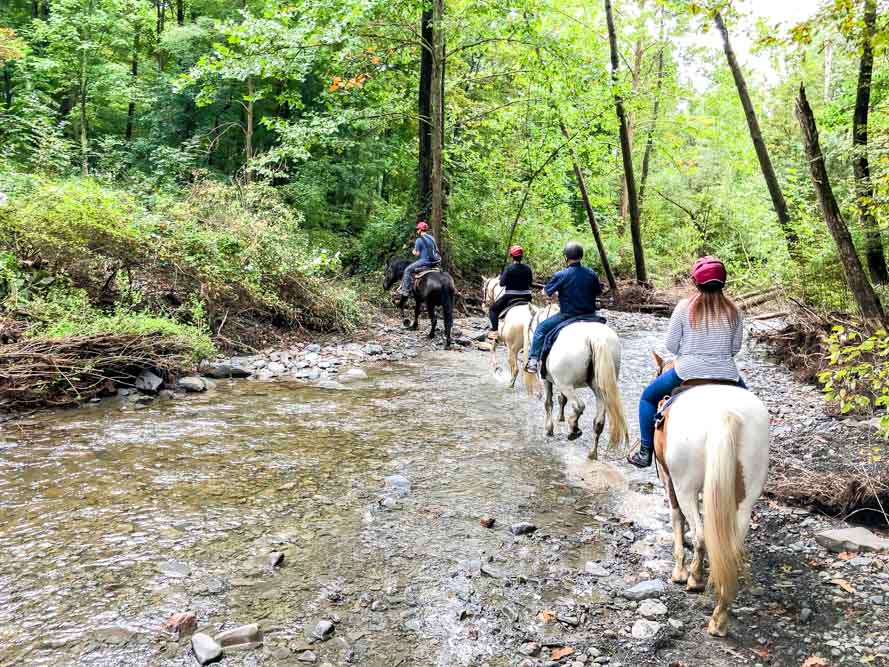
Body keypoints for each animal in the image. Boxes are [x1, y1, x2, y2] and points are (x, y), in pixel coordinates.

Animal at [528, 306, 632, 460]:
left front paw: (549, 429)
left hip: (567, 385)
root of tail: (595, 337)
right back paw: (592, 453)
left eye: (530, 327)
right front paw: (560, 418)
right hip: (600, 388)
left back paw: (573, 428)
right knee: (598, 421)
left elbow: (548, 403)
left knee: (579, 405)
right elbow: (561, 399)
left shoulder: (546, 380)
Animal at [648, 350, 768, 636]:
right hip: (745, 498)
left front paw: (679, 571)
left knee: (700, 534)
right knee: (730, 549)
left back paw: (694, 579)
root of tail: (726, 413)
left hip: (685, 485)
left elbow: (677, 518)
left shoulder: (669, 480)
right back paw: (719, 618)